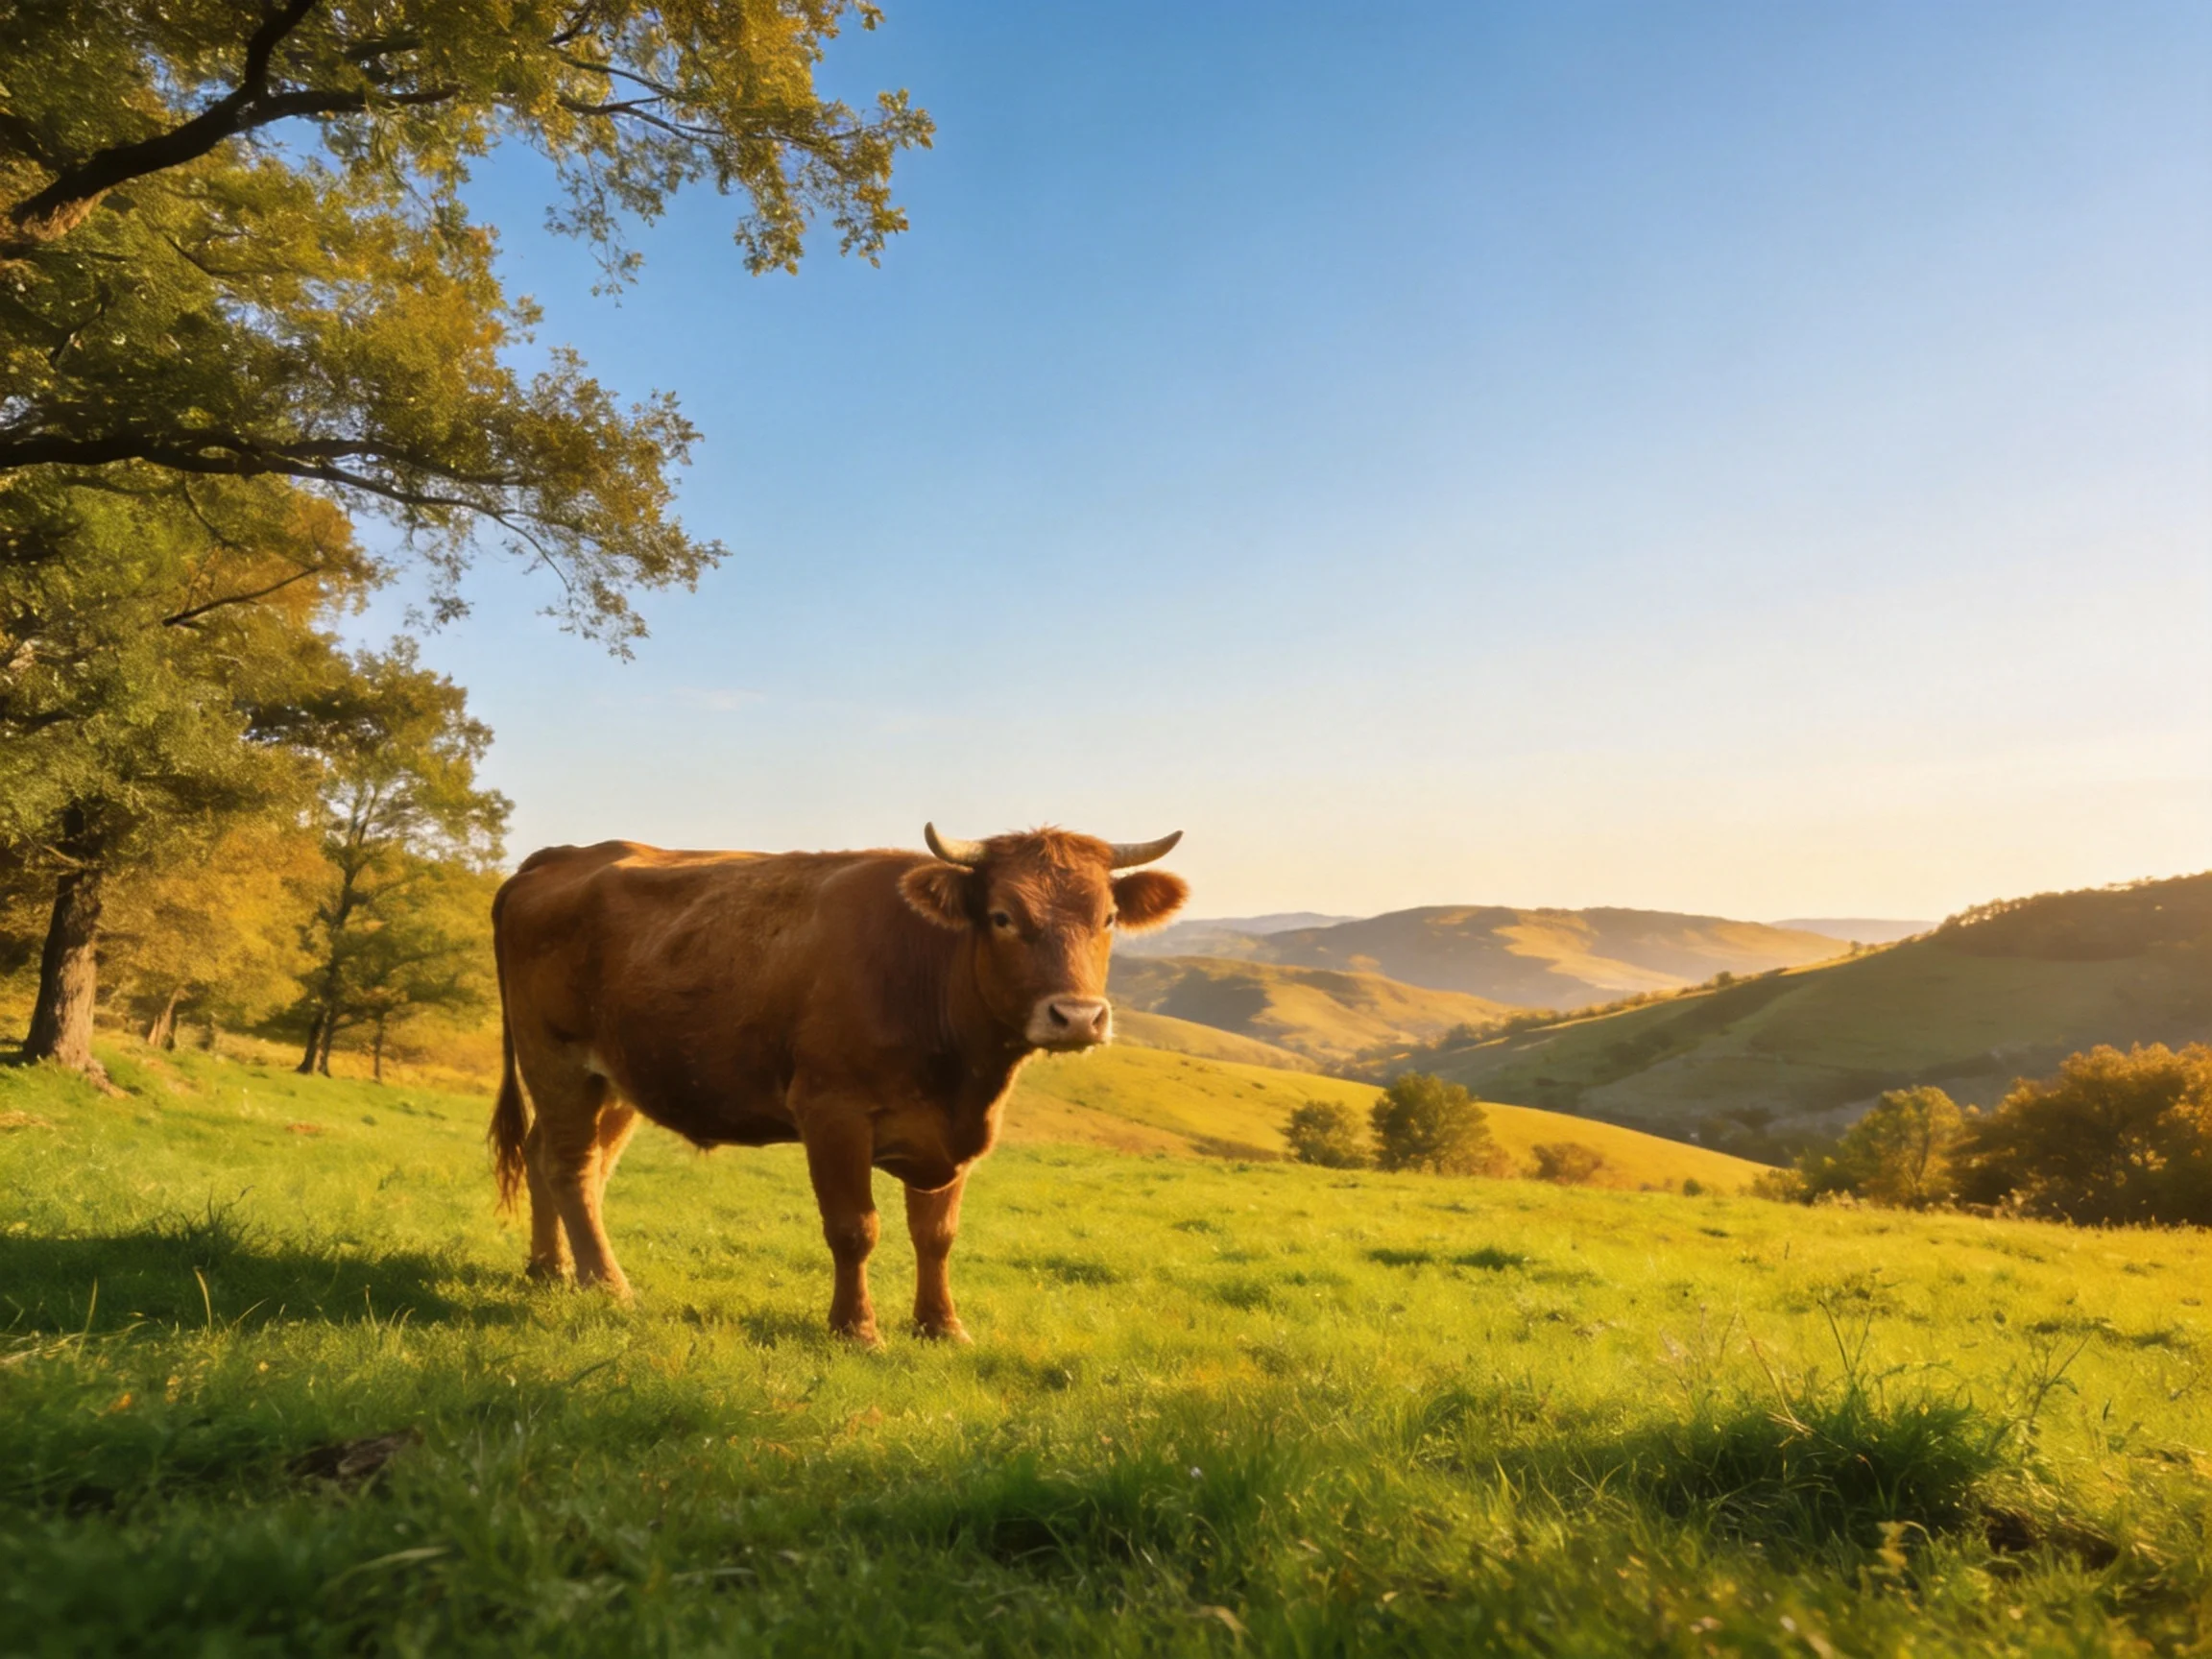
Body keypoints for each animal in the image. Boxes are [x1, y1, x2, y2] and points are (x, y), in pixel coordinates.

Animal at [487, 824, 1188, 1343]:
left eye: (1107, 918)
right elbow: (855, 1228)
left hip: (618, 1075)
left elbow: (937, 1236)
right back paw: (607, 1284)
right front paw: (856, 1330)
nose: (1078, 1016)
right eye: (1001, 917)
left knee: (555, 1158)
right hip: (556, 1058)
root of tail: (563, 854)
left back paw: (554, 1270)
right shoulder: (832, 1112)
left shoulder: (951, 1132)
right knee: (572, 1166)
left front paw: (941, 1326)